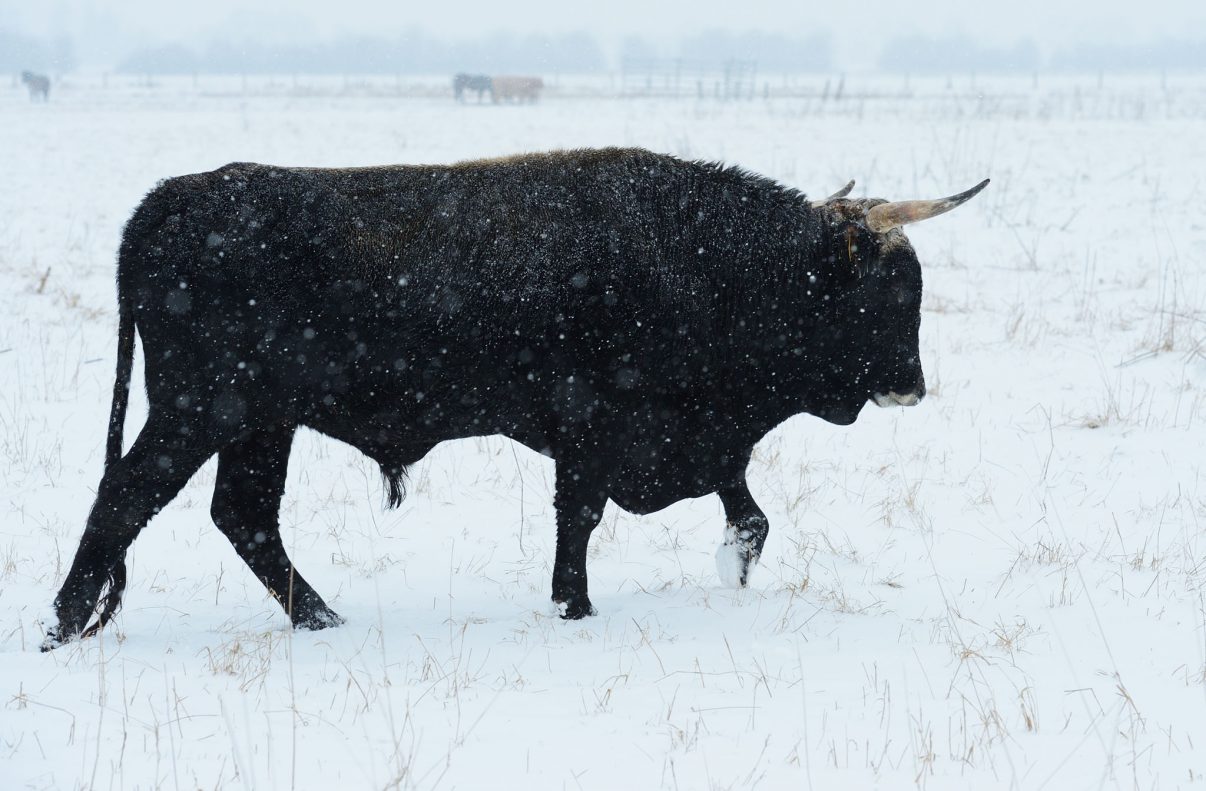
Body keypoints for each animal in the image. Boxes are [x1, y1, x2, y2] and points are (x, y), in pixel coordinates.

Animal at [40, 143, 988, 651]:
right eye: (888, 290)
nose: (912, 386)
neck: (703, 255)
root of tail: (172, 201)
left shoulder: (692, 441)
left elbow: (747, 513)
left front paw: (728, 570)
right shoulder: (596, 428)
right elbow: (583, 518)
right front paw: (575, 605)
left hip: (259, 424)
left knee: (242, 516)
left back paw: (323, 618)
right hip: (201, 413)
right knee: (127, 496)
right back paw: (61, 624)